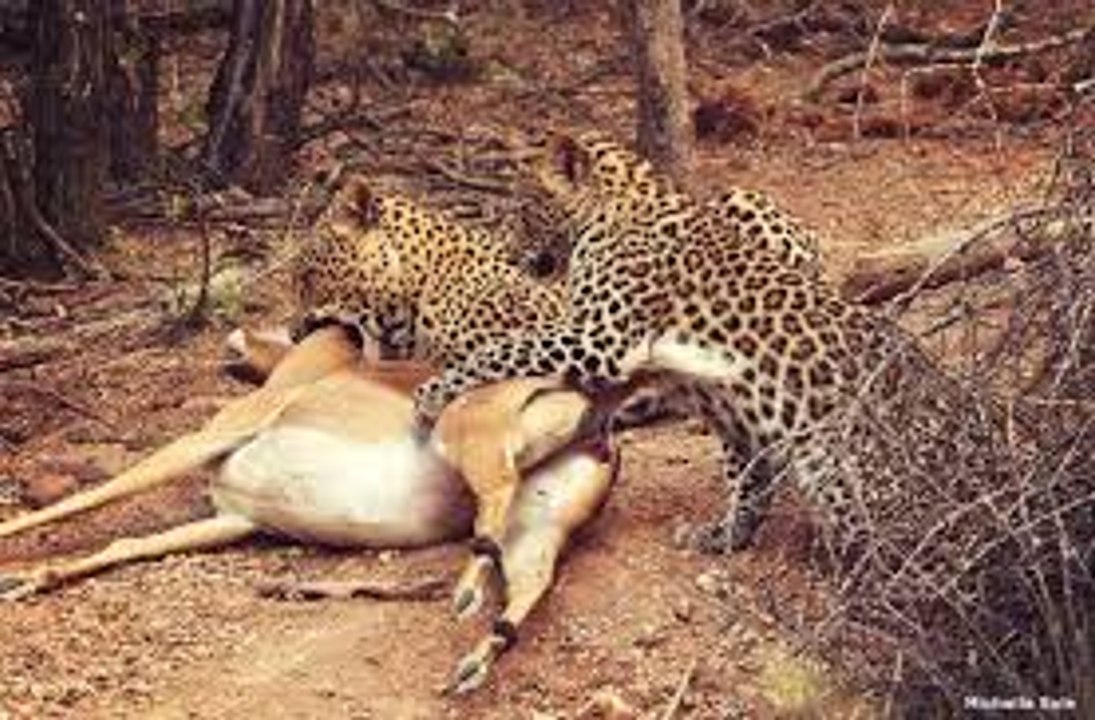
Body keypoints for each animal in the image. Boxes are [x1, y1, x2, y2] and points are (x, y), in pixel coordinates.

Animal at [0, 324, 617, 693]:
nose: (237, 336)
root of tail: (595, 414)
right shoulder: (235, 518)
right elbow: (127, 543)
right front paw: (32, 580)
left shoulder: (207, 439)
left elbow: (85, 499)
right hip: (537, 527)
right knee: (532, 581)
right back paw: (480, 655)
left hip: (463, 440)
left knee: (495, 500)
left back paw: (467, 590)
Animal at [412, 129, 908, 553]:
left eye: (523, 207)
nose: (511, 255)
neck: (607, 211)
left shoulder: (601, 339)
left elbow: (501, 350)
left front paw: (432, 394)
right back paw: (725, 534)